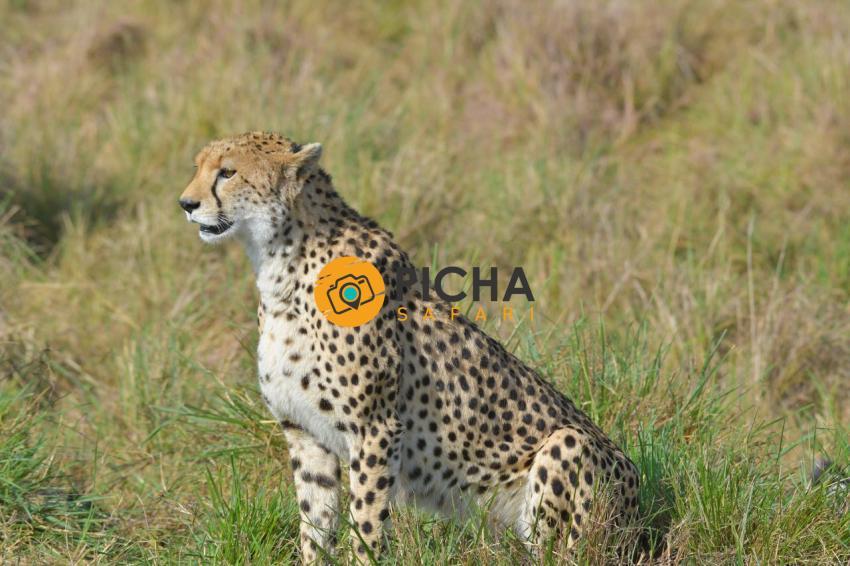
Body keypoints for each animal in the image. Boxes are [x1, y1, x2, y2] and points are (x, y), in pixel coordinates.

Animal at [179, 131, 640, 563]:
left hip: (570, 447)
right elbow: (315, 526)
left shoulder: (375, 430)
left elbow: (365, 524)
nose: (186, 203)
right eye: (198, 166)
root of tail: (640, 504)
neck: (281, 265)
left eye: (228, 172)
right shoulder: (305, 435)